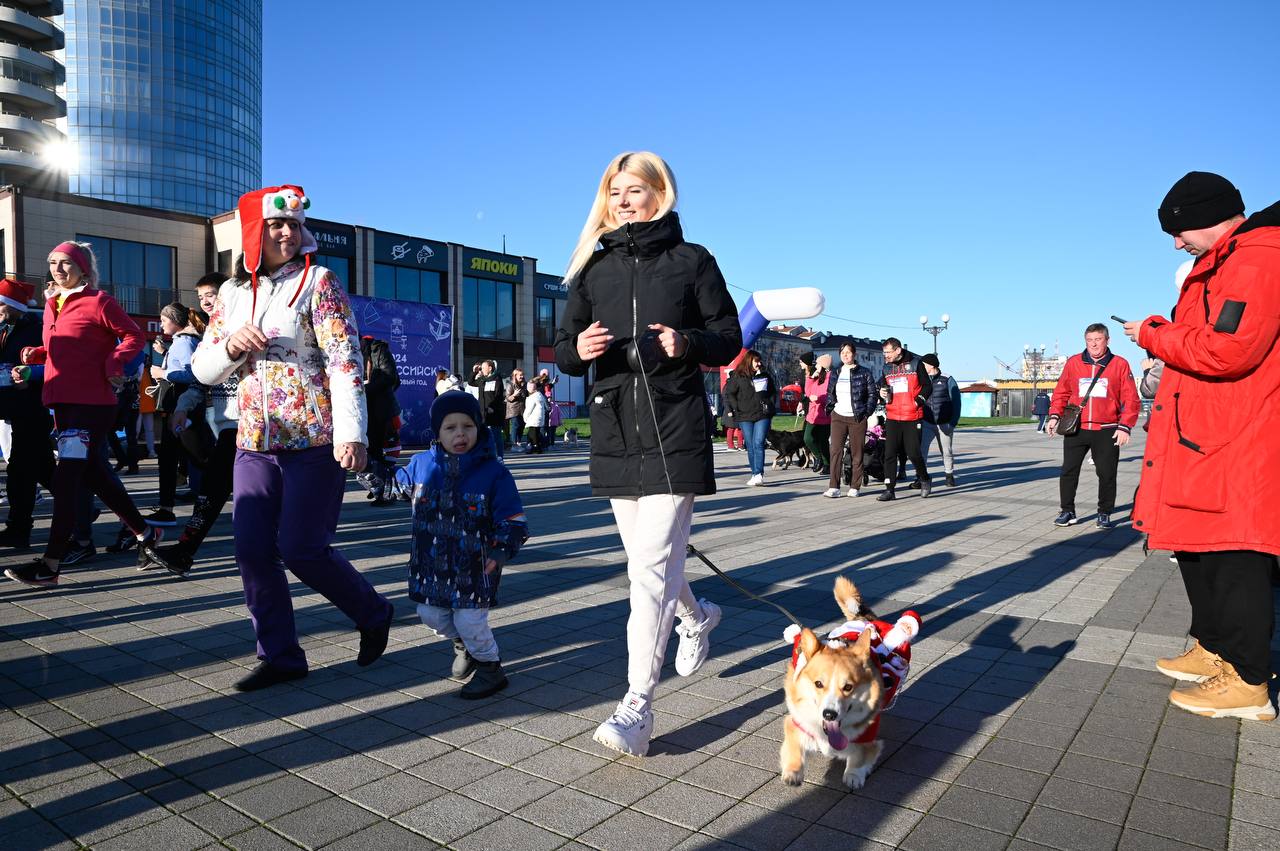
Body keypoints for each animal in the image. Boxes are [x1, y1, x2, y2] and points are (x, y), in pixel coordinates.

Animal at [778, 578, 921, 788]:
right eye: (818, 684)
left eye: (848, 687)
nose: (829, 714)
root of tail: (865, 619)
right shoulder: (797, 723)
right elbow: (794, 748)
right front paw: (793, 773)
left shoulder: (868, 739)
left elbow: (859, 758)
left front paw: (853, 777)